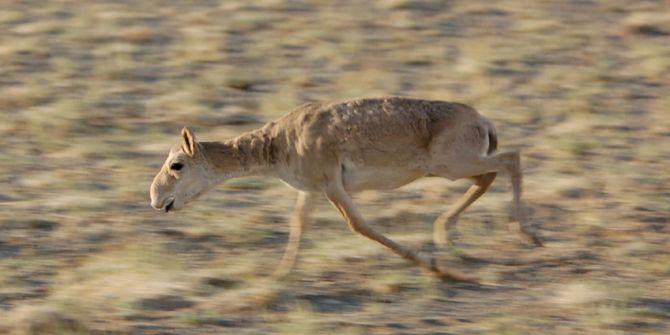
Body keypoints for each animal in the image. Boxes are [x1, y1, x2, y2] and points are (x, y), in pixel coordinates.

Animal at [150, 96, 544, 284]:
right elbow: (298, 224)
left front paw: (436, 268)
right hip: (455, 166)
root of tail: (482, 120)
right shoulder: (311, 190)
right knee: (489, 175)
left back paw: (527, 234)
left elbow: (360, 225)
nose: (155, 199)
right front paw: (279, 275)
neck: (278, 142)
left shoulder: (330, 186)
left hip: (452, 164)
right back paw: (446, 234)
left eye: (176, 165)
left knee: (511, 159)